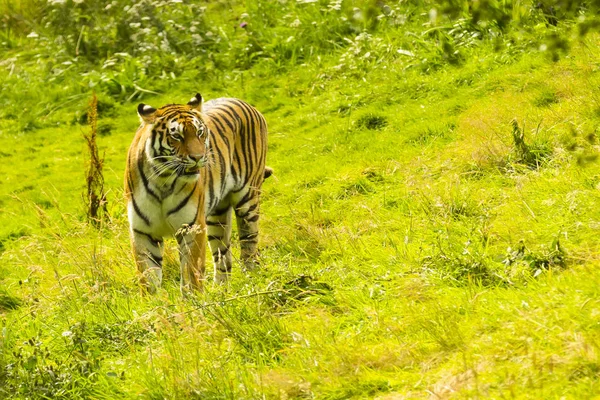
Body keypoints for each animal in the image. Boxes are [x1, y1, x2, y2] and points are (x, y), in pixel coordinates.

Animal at [125, 94, 270, 294]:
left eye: (200, 133)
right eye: (176, 136)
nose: (199, 157)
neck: (163, 181)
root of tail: (245, 102)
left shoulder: (191, 227)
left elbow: (190, 273)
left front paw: (194, 301)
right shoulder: (143, 231)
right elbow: (148, 277)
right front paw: (153, 303)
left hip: (248, 200)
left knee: (249, 243)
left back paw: (253, 280)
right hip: (217, 216)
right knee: (223, 257)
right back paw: (220, 292)